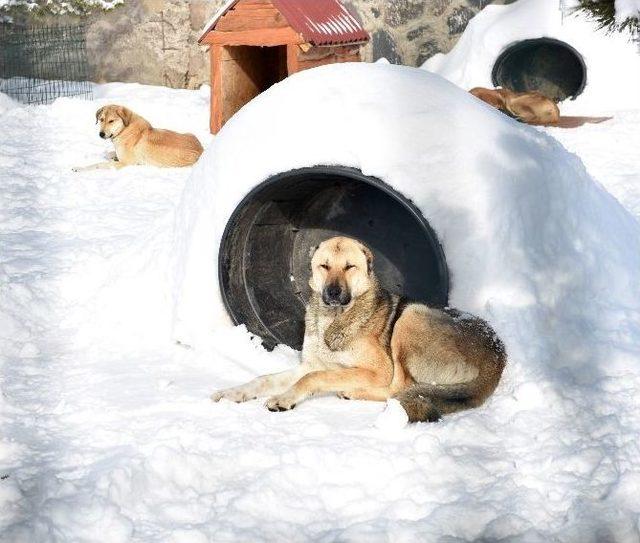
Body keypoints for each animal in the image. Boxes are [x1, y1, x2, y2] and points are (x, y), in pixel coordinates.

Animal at [73, 104, 204, 172]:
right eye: (101, 119)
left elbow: (99, 164)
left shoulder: (124, 163)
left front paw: (80, 168)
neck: (124, 129)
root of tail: (202, 150)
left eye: (111, 121)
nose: (101, 134)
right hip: (190, 133)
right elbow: (109, 153)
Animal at [212, 236, 508, 422]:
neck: (334, 318)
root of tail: (498, 355)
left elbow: (313, 379)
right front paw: (233, 393)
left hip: (410, 318)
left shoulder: (375, 370)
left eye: (349, 267)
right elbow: (264, 379)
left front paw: (285, 399)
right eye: (324, 266)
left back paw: (353, 392)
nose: (332, 292)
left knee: (399, 389)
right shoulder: (310, 364)